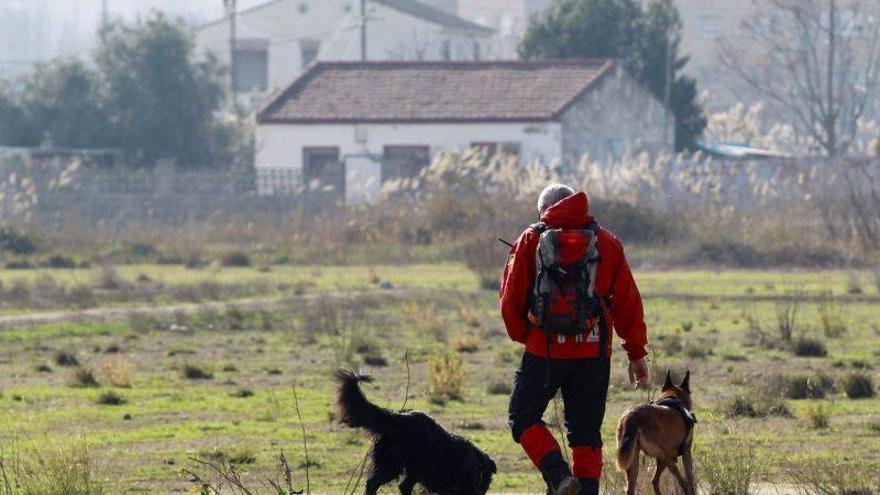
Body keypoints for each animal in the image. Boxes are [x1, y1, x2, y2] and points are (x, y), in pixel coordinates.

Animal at [334, 370, 496, 494]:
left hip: (390, 464)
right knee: (403, 486)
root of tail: (396, 417)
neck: (477, 465)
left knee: (372, 483)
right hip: (414, 467)